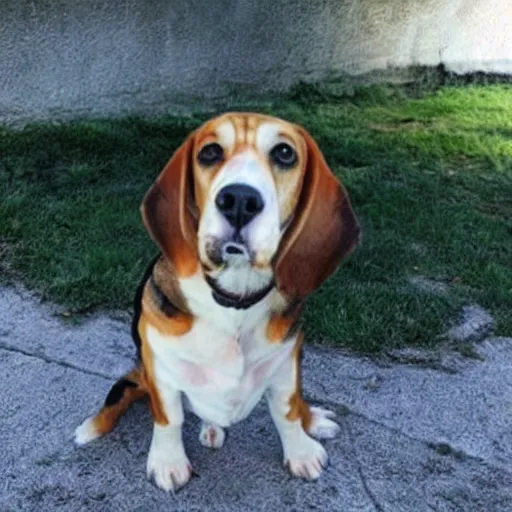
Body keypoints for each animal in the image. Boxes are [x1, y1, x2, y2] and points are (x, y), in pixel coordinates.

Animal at [76, 113, 360, 492]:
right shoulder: (161, 368)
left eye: (285, 153)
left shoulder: (287, 360)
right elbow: (169, 418)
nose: (239, 200)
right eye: (209, 152)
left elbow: (287, 410)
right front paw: (168, 462)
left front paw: (300, 451)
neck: (234, 303)